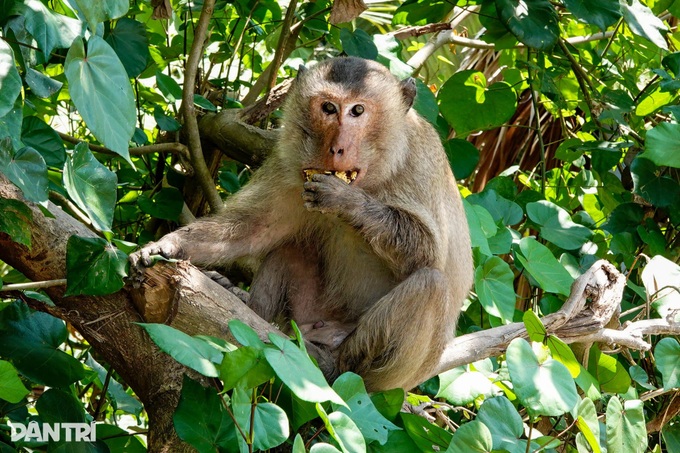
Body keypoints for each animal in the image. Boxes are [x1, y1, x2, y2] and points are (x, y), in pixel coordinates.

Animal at [130, 57, 473, 391]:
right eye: (329, 108)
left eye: (358, 111)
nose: (336, 148)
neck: (373, 175)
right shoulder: (288, 163)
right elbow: (254, 228)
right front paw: (168, 245)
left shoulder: (420, 161)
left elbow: (429, 254)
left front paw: (345, 200)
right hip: (306, 316)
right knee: (290, 251)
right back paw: (249, 308)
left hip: (388, 375)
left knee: (429, 286)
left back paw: (337, 367)